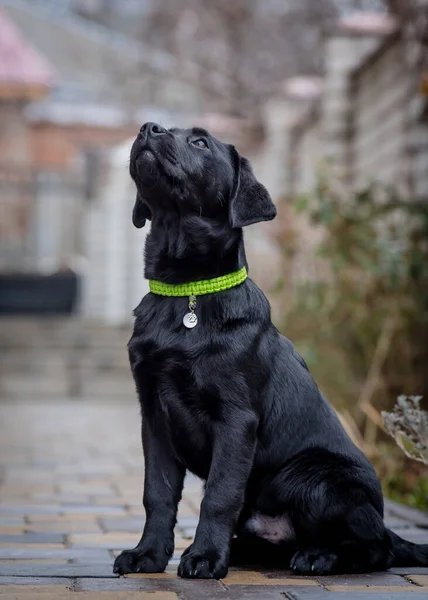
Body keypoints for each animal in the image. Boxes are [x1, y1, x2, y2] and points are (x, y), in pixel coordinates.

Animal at [113, 123, 428, 580]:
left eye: (200, 142)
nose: (148, 128)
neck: (187, 292)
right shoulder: (153, 415)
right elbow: (157, 493)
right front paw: (148, 556)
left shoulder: (236, 417)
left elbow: (219, 495)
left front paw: (204, 558)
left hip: (315, 477)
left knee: (377, 549)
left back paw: (318, 557)